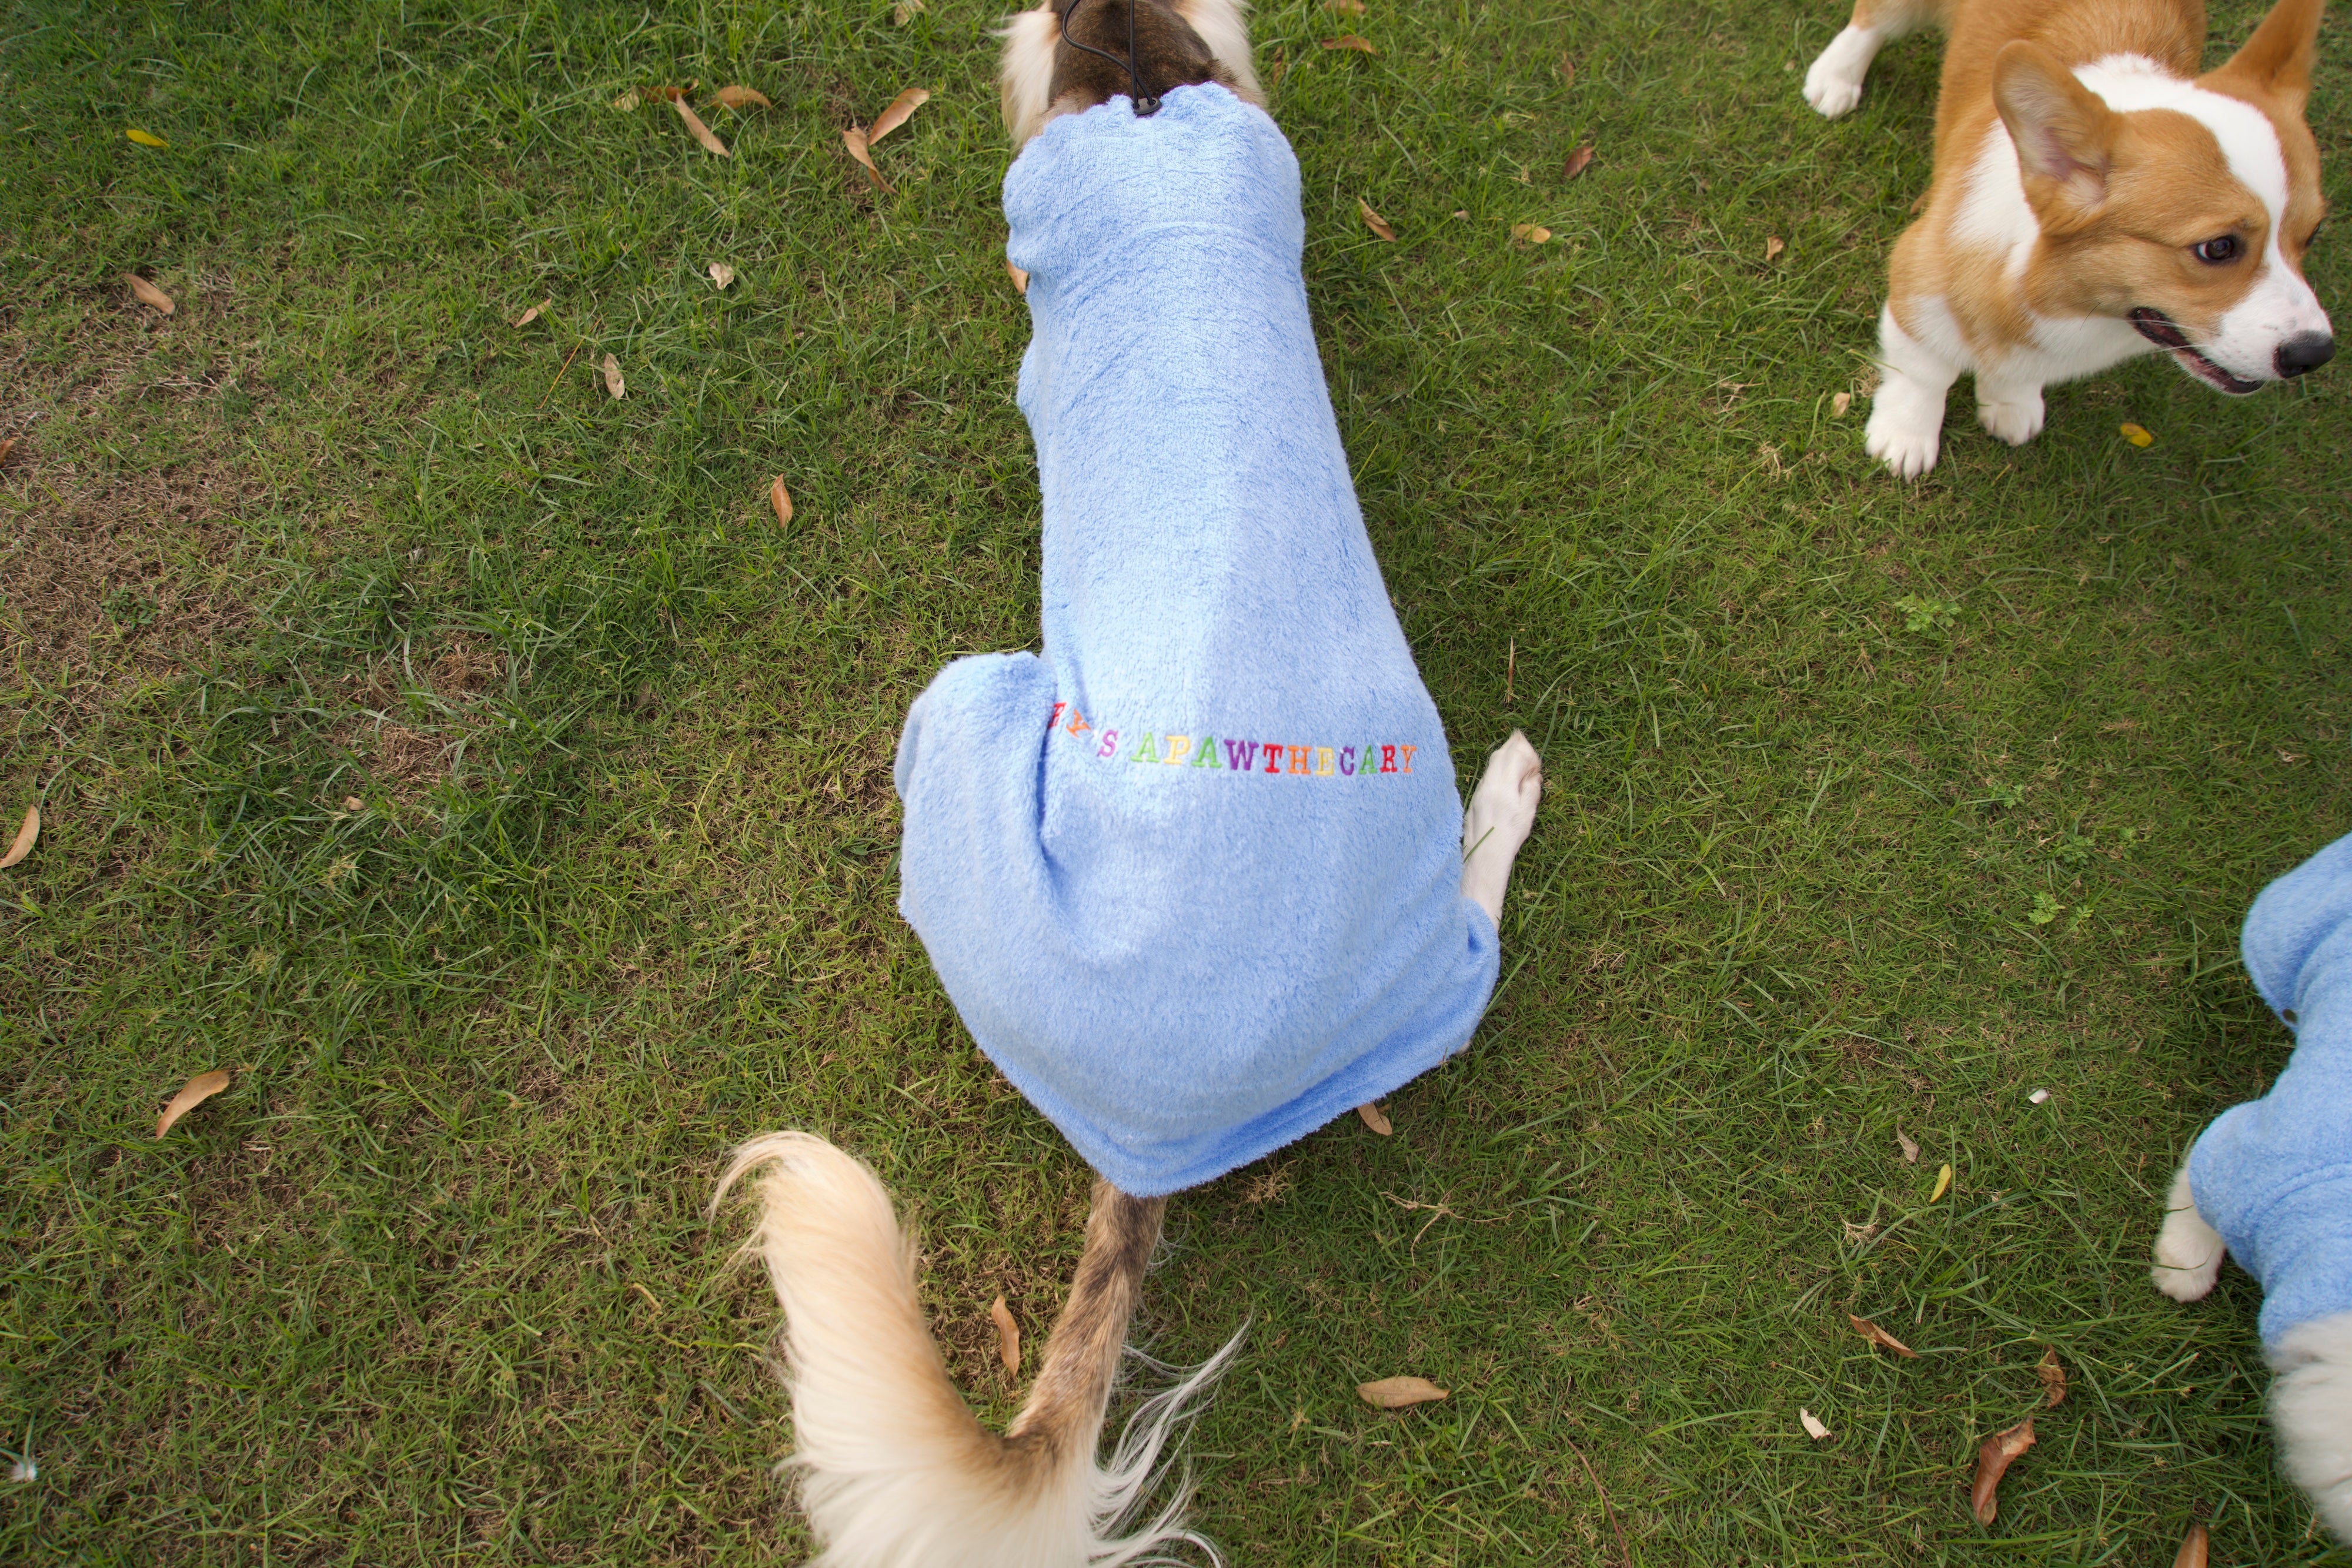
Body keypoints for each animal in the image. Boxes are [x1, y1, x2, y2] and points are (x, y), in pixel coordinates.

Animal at [1797, 0, 2333, 479]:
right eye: (2218, 248)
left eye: (2312, 234)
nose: (2315, 355)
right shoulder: (1920, 272)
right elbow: (1926, 367)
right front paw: (1906, 435)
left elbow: (2020, 371)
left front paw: (2009, 400)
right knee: (1874, 18)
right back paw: (1836, 77)